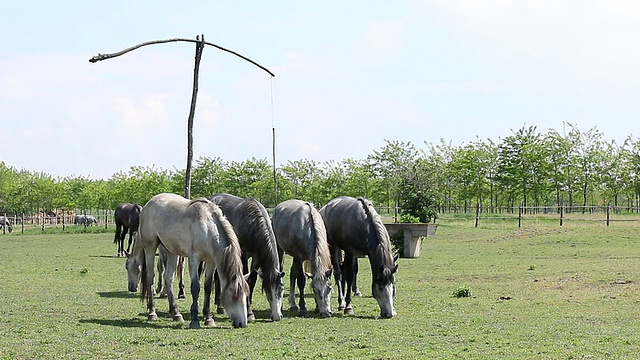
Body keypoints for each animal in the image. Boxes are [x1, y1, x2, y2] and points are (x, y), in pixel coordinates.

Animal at [124, 194, 248, 330]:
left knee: (168, 278)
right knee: (150, 277)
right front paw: (194, 320)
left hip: (171, 251)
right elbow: (195, 287)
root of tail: (148, 204)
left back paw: (176, 313)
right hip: (150, 247)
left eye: (246, 295)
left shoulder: (211, 262)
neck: (207, 227)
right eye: (234, 296)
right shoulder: (194, 259)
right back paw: (152, 313)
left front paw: (208, 318)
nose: (242, 323)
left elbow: (208, 288)